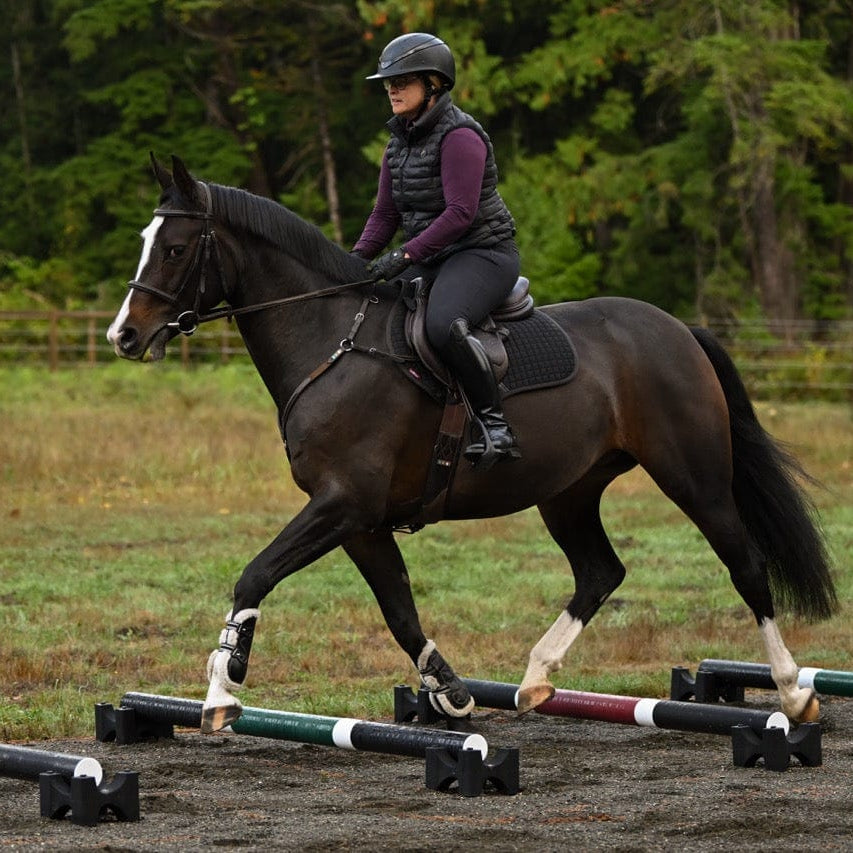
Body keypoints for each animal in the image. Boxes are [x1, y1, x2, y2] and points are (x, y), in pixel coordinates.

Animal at [107, 154, 836, 734]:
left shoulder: (342, 504)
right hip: (569, 491)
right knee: (600, 571)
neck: (333, 344)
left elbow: (255, 573)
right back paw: (536, 678)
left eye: (175, 247)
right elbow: (399, 608)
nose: (124, 336)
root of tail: (678, 329)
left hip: (693, 476)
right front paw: (451, 692)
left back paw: (793, 692)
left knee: (745, 564)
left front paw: (220, 686)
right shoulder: (359, 520)